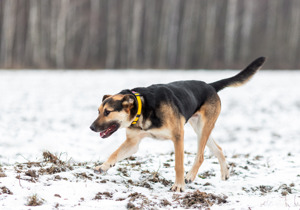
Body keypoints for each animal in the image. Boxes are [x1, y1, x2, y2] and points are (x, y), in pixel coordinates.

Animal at [89, 57, 264, 192]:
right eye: (98, 111)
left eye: (107, 112)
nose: (91, 128)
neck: (143, 107)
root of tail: (210, 85)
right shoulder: (133, 142)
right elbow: (114, 153)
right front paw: (103, 166)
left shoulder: (178, 137)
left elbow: (178, 165)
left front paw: (179, 186)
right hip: (199, 127)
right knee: (218, 149)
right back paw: (225, 172)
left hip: (203, 128)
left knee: (200, 156)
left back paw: (190, 176)